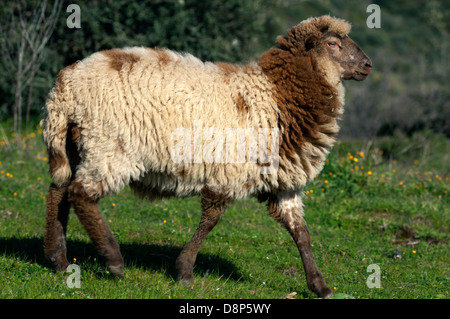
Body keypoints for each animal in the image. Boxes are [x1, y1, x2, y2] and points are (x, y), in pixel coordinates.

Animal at [41, 15, 372, 300]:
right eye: (333, 44)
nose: (368, 65)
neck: (277, 95)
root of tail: (65, 86)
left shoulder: (281, 181)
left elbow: (300, 231)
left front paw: (320, 286)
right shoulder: (227, 170)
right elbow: (211, 219)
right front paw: (185, 271)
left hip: (76, 144)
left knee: (59, 191)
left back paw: (58, 260)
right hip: (110, 146)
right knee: (81, 195)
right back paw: (113, 260)